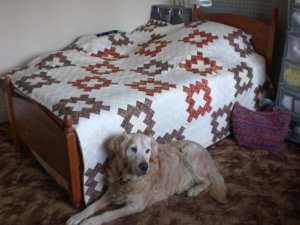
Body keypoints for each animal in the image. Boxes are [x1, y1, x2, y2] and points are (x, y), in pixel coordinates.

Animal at [66, 134, 227, 225]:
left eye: (148, 151)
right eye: (133, 149)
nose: (144, 166)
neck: (127, 179)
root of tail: (206, 153)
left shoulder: (135, 206)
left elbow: (107, 214)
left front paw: (90, 221)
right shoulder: (111, 193)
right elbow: (91, 207)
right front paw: (77, 217)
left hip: (189, 152)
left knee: (208, 180)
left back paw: (194, 189)